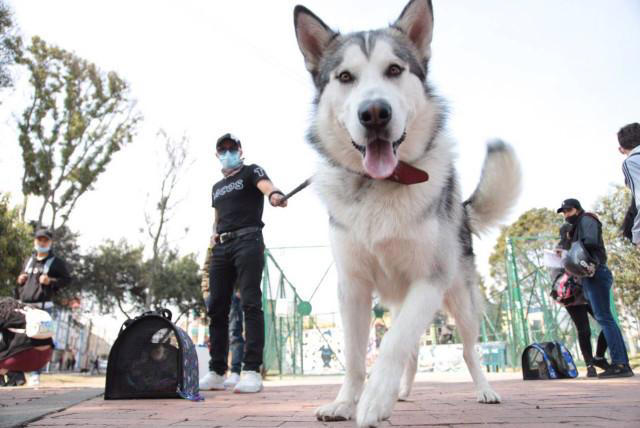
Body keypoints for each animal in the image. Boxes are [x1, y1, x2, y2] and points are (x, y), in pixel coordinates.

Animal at [296, 0, 520, 428]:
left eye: (394, 70)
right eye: (345, 77)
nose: (374, 113)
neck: (383, 185)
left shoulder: (429, 280)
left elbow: (392, 345)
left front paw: (371, 402)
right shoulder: (353, 286)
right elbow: (356, 357)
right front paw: (346, 403)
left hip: (461, 303)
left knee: (467, 350)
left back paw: (484, 390)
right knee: (414, 351)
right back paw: (400, 393)